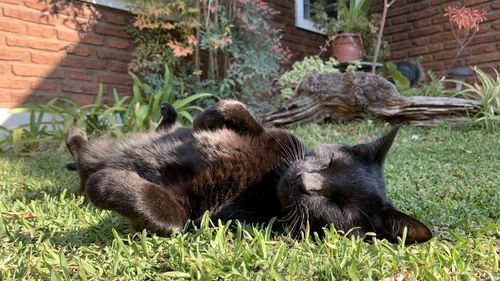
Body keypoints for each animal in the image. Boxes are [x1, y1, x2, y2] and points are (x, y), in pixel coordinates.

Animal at [66, 100, 432, 243]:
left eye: (337, 203)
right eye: (328, 163)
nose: (303, 181)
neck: (266, 180)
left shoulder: (199, 215)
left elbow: (160, 212)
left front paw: (108, 183)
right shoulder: (280, 139)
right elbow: (239, 109)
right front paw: (204, 120)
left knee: (85, 167)